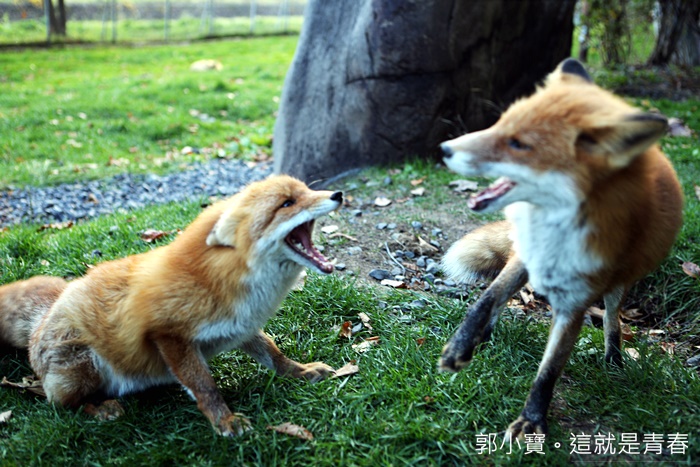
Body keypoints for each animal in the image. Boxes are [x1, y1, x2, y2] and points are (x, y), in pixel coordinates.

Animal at [0, 175, 343, 436]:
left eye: (307, 190)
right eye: (287, 203)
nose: (338, 193)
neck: (219, 280)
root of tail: (46, 314)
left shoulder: (242, 326)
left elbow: (274, 355)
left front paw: (302, 372)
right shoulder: (168, 335)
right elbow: (205, 385)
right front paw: (225, 421)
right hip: (83, 370)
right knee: (57, 403)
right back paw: (99, 409)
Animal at [439, 58, 683, 438]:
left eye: (518, 144)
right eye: (499, 123)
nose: (444, 149)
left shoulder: (575, 303)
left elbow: (549, 372)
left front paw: (531, 421)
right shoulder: (527, 256)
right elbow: (486, 299)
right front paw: (459, 346)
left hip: (618, 284)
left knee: (612, 317)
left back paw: (614, 358)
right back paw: (485, 334)